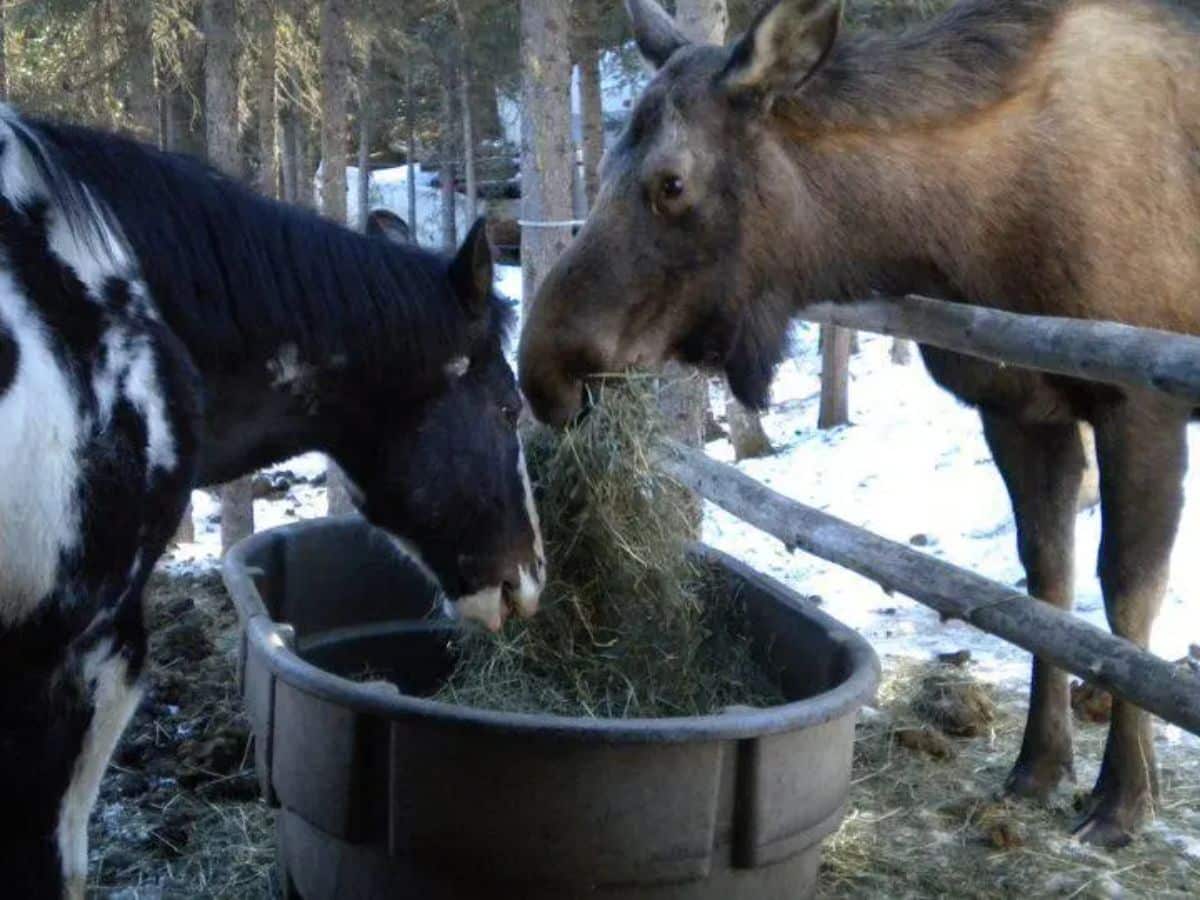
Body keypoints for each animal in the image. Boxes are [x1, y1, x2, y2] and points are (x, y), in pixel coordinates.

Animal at [518, 0, 1200, 849]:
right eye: (605, 166)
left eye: (670, 182)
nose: (542, 367)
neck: (963, 240)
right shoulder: (1017, 408)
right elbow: (1046, 585)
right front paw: (1039, 767)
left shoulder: (1141, 402)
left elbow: (1128, 598)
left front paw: (1125, 796)